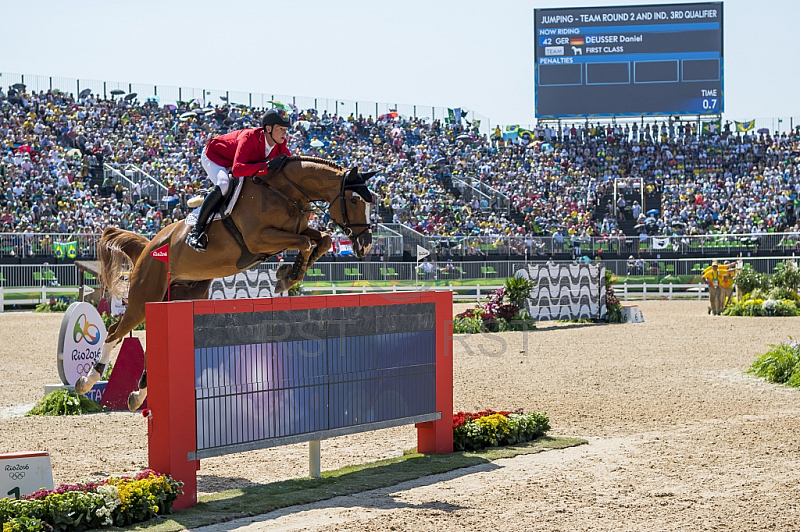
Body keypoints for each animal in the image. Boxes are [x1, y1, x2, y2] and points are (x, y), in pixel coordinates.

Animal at [75, 156, 376, 410]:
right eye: (354, 200)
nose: (365, 245)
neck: (285, 191)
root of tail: (149, 246)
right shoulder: (259, 239)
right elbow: (305, 242)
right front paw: (287, 275)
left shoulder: (294, 230)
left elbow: (321, 239)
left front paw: (289, 273)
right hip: (143, 298)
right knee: (113, 332)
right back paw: (88, 381)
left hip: (182, 296)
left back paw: (138, 394)